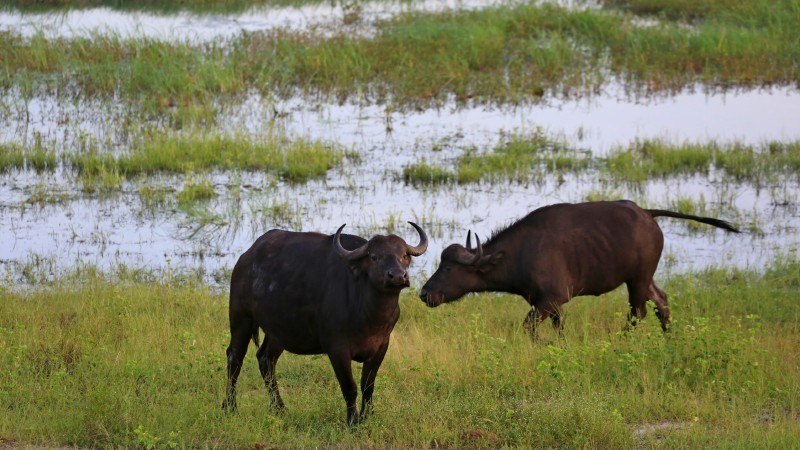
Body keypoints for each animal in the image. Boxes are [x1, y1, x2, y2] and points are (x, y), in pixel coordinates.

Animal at [222, 221, 428, 426]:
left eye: (405, 255)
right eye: (374, 257)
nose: (398, 276)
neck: (370, 314)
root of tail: (245, 258)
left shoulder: (381, 346)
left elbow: (368, 385)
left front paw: (367, 416)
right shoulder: (337, 349)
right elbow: (349, 387)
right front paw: (352, 421)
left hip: (277, 332)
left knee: (266, 359)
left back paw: (279, 408)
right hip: (241, 318)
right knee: (235, 358)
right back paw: (230, 407)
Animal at [422, 202, 740, 332]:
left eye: (448, 269)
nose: (425, 293)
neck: (522, 253)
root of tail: (646, 214)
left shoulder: (550, 300)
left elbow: (528, 327)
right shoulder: (550, 304)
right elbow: (558, 328)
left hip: (637, 279)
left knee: (637, 313)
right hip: (643, 277)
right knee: (661, 301)